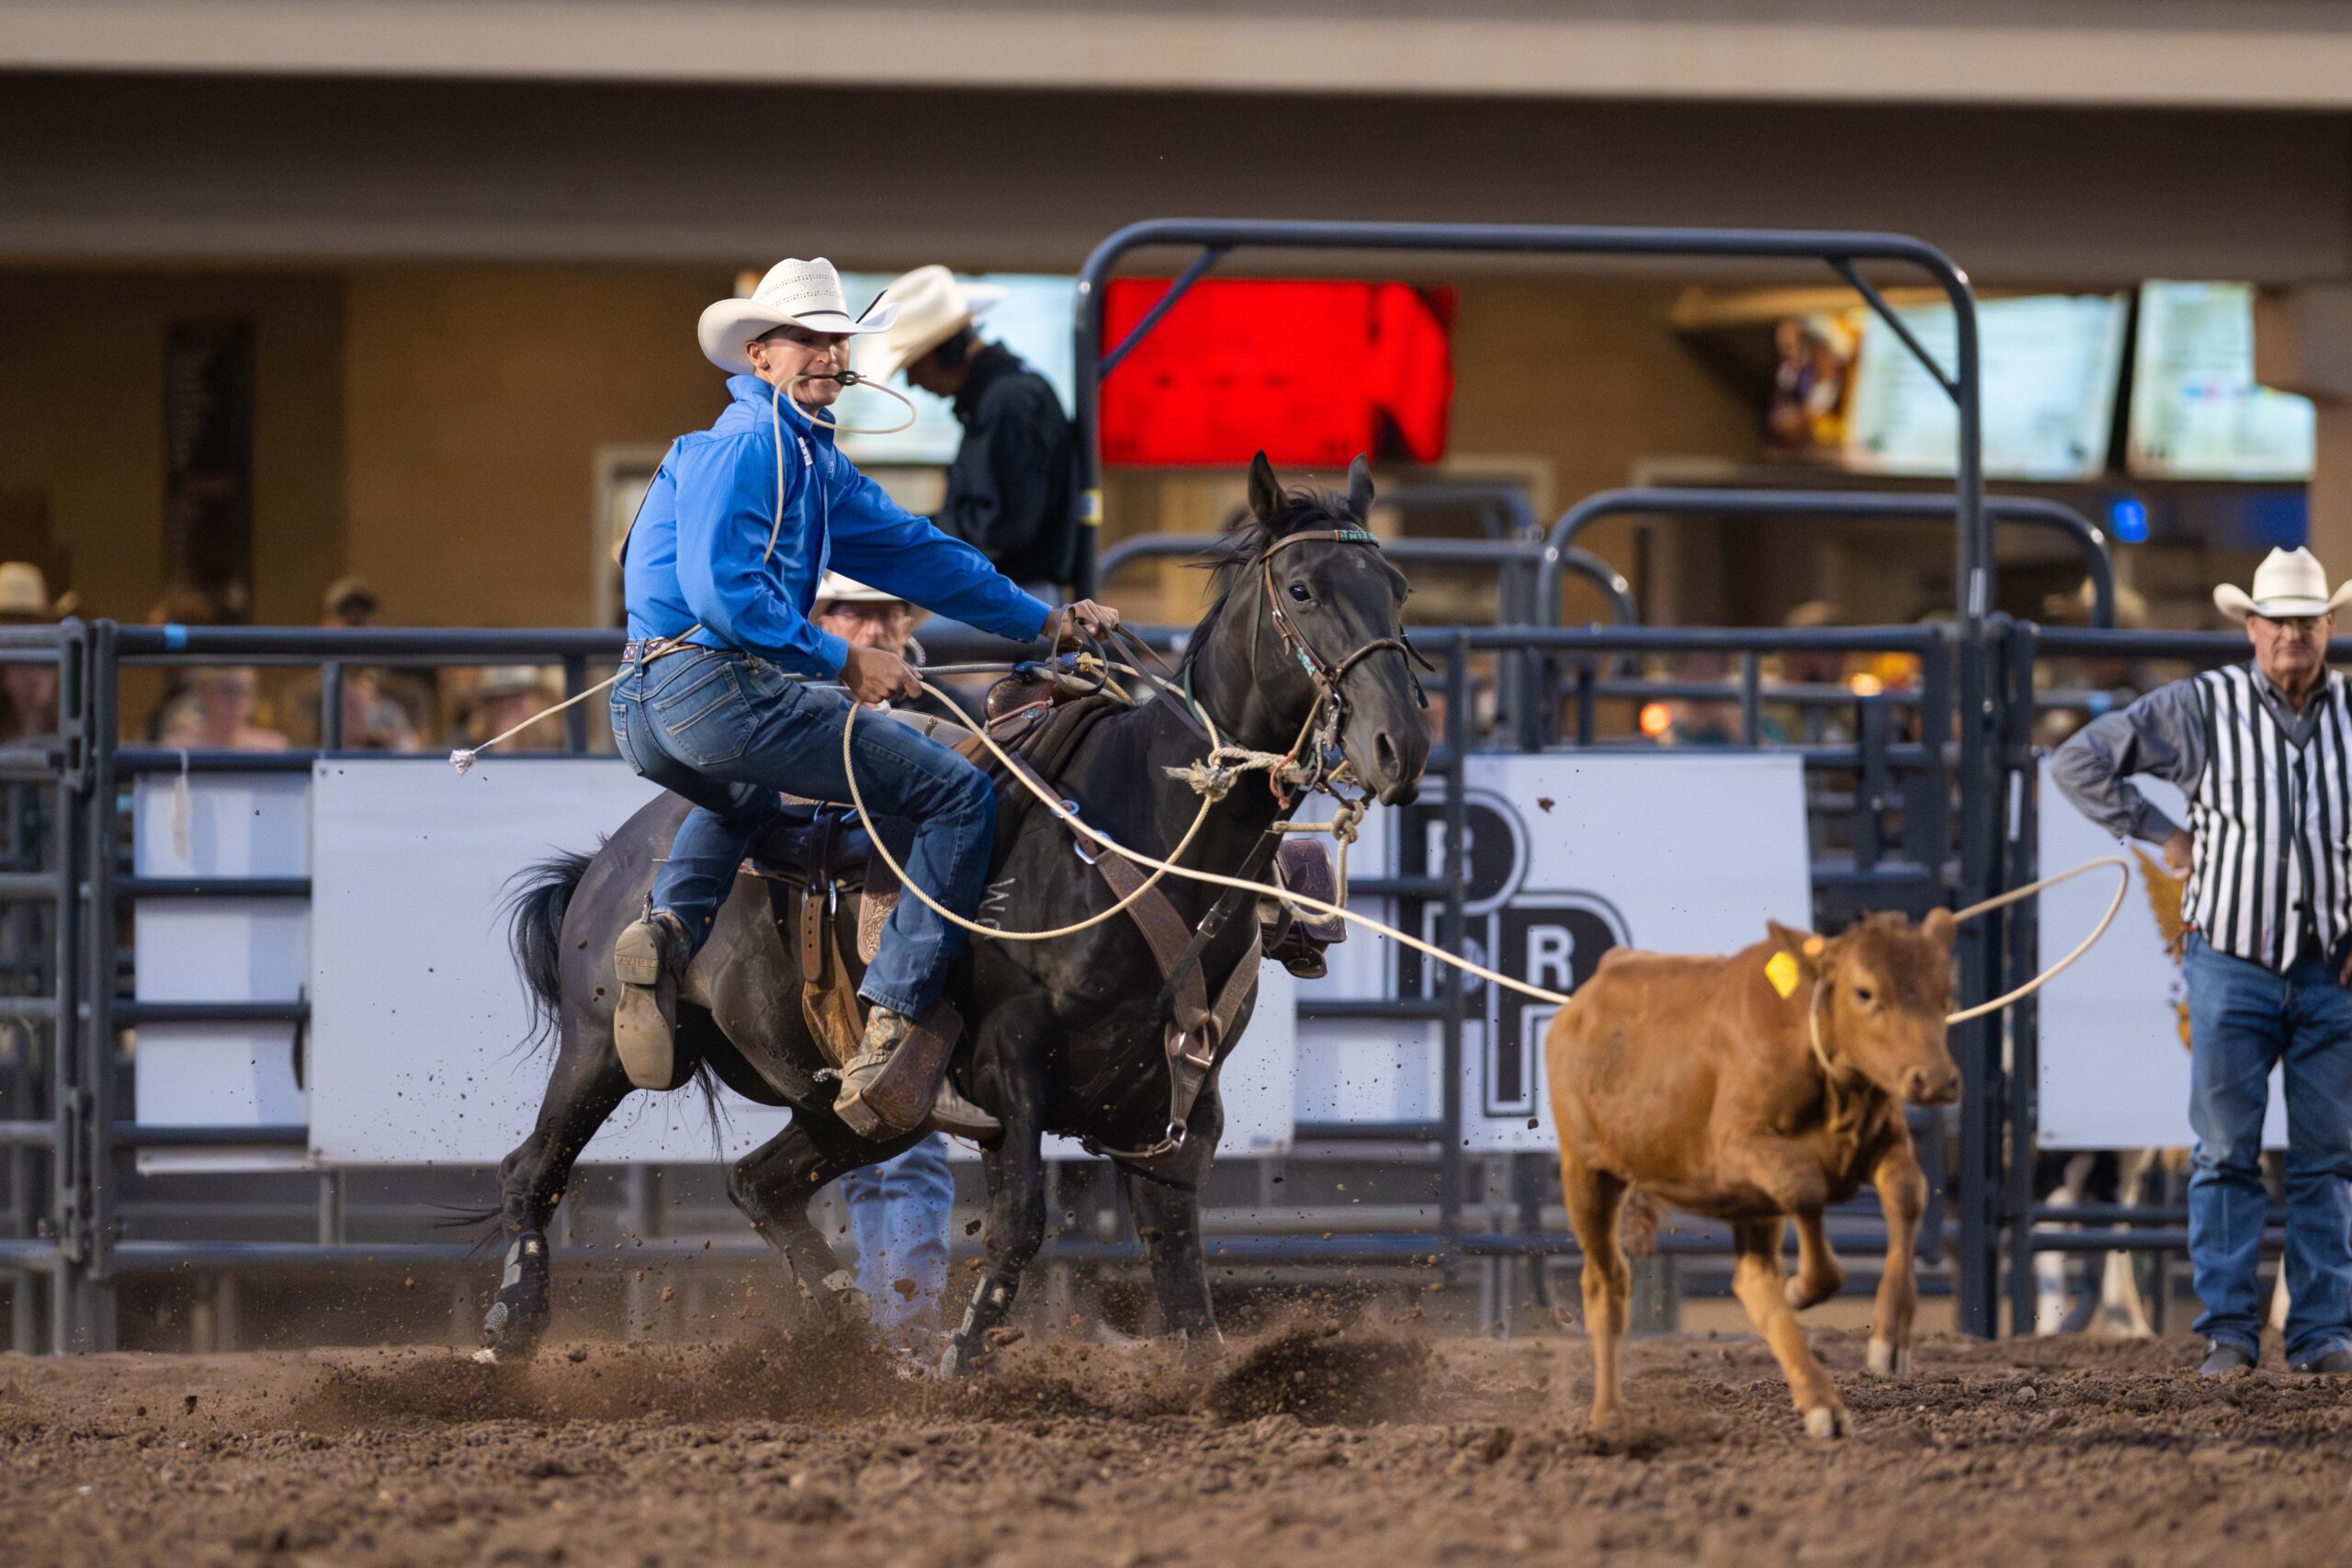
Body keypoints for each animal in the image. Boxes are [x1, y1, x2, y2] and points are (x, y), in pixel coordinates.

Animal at [486, 451, 1420, 1363]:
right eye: (1301, 588)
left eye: (1398, 588)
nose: (1400, 745)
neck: (1147, 830)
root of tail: (608, 857)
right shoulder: (1013, 1067)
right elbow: (1019, 1230)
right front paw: (962, 1368)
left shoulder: (1187, 1096)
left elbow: (1182, 1272)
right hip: (598, 1046)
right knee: (532, 1168)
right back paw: (511, 1327)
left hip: (854, 1112)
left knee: (759, 1182)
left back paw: (851, 1334)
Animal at [1543, 911, 1966, 1438]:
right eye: (1864, 992)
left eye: (1945, 989)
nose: (1935, 1080)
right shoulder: (1736, 1150)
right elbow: (1804, 1188)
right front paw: (1803, 1288)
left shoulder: (1883, 1143)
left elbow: (1907, 1195)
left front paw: (1891, 1339)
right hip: (1587, 1173)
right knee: (1606, 1284)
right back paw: (1608, 1416)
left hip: (1746, 1206)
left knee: (1754, 1281)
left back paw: (1820, 1403)